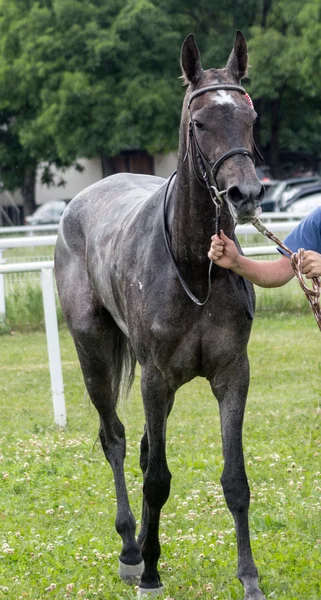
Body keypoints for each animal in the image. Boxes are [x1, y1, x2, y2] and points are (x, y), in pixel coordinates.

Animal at [55, 32, 264, 600]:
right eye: (201, 122)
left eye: (251, 116)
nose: (246, 194)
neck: (195, 267)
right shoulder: (154, 379)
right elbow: (156, 479)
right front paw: (148, 571)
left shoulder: (232, 375)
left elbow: (234, 481)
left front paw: (249, 576)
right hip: (93, 354)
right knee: (117, 440)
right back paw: (133, 549)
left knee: (148, 449)